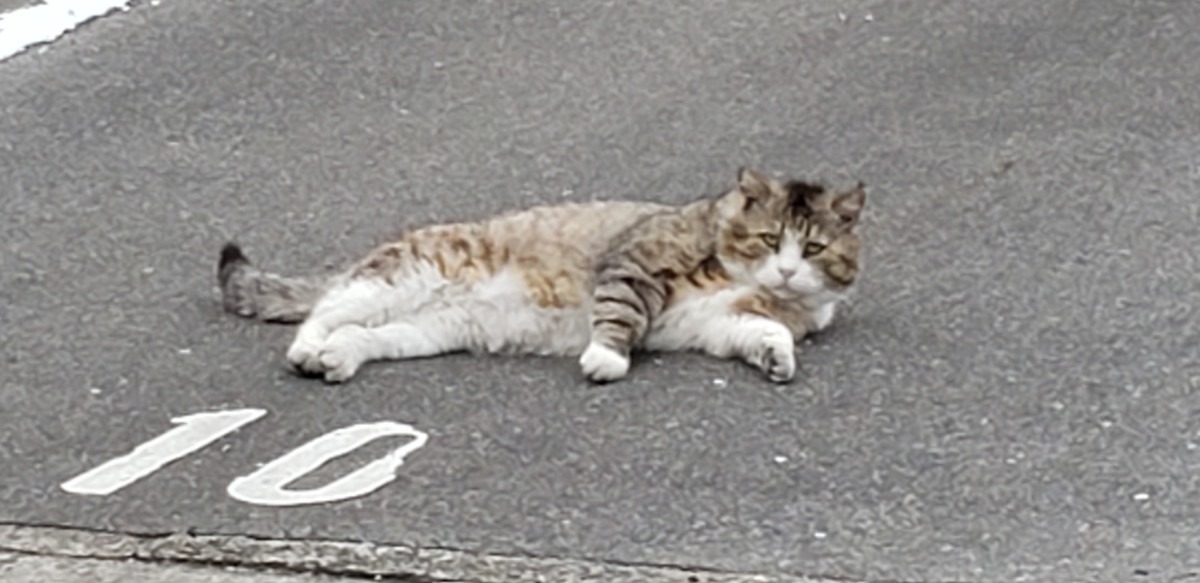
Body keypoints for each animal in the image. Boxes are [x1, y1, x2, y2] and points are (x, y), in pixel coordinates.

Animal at [218, 167, 864, 383]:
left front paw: (777, 358)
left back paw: (337, 359)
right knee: (325, 309)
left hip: (423, 332)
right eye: (769, 240)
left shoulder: (722, 322)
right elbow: (621, 315)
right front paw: (606, 359)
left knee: (358, 335)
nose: (786, 270)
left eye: (811, 248)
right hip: (398, 277)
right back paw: (307, 350)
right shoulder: (633, 264)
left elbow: (762, 333)